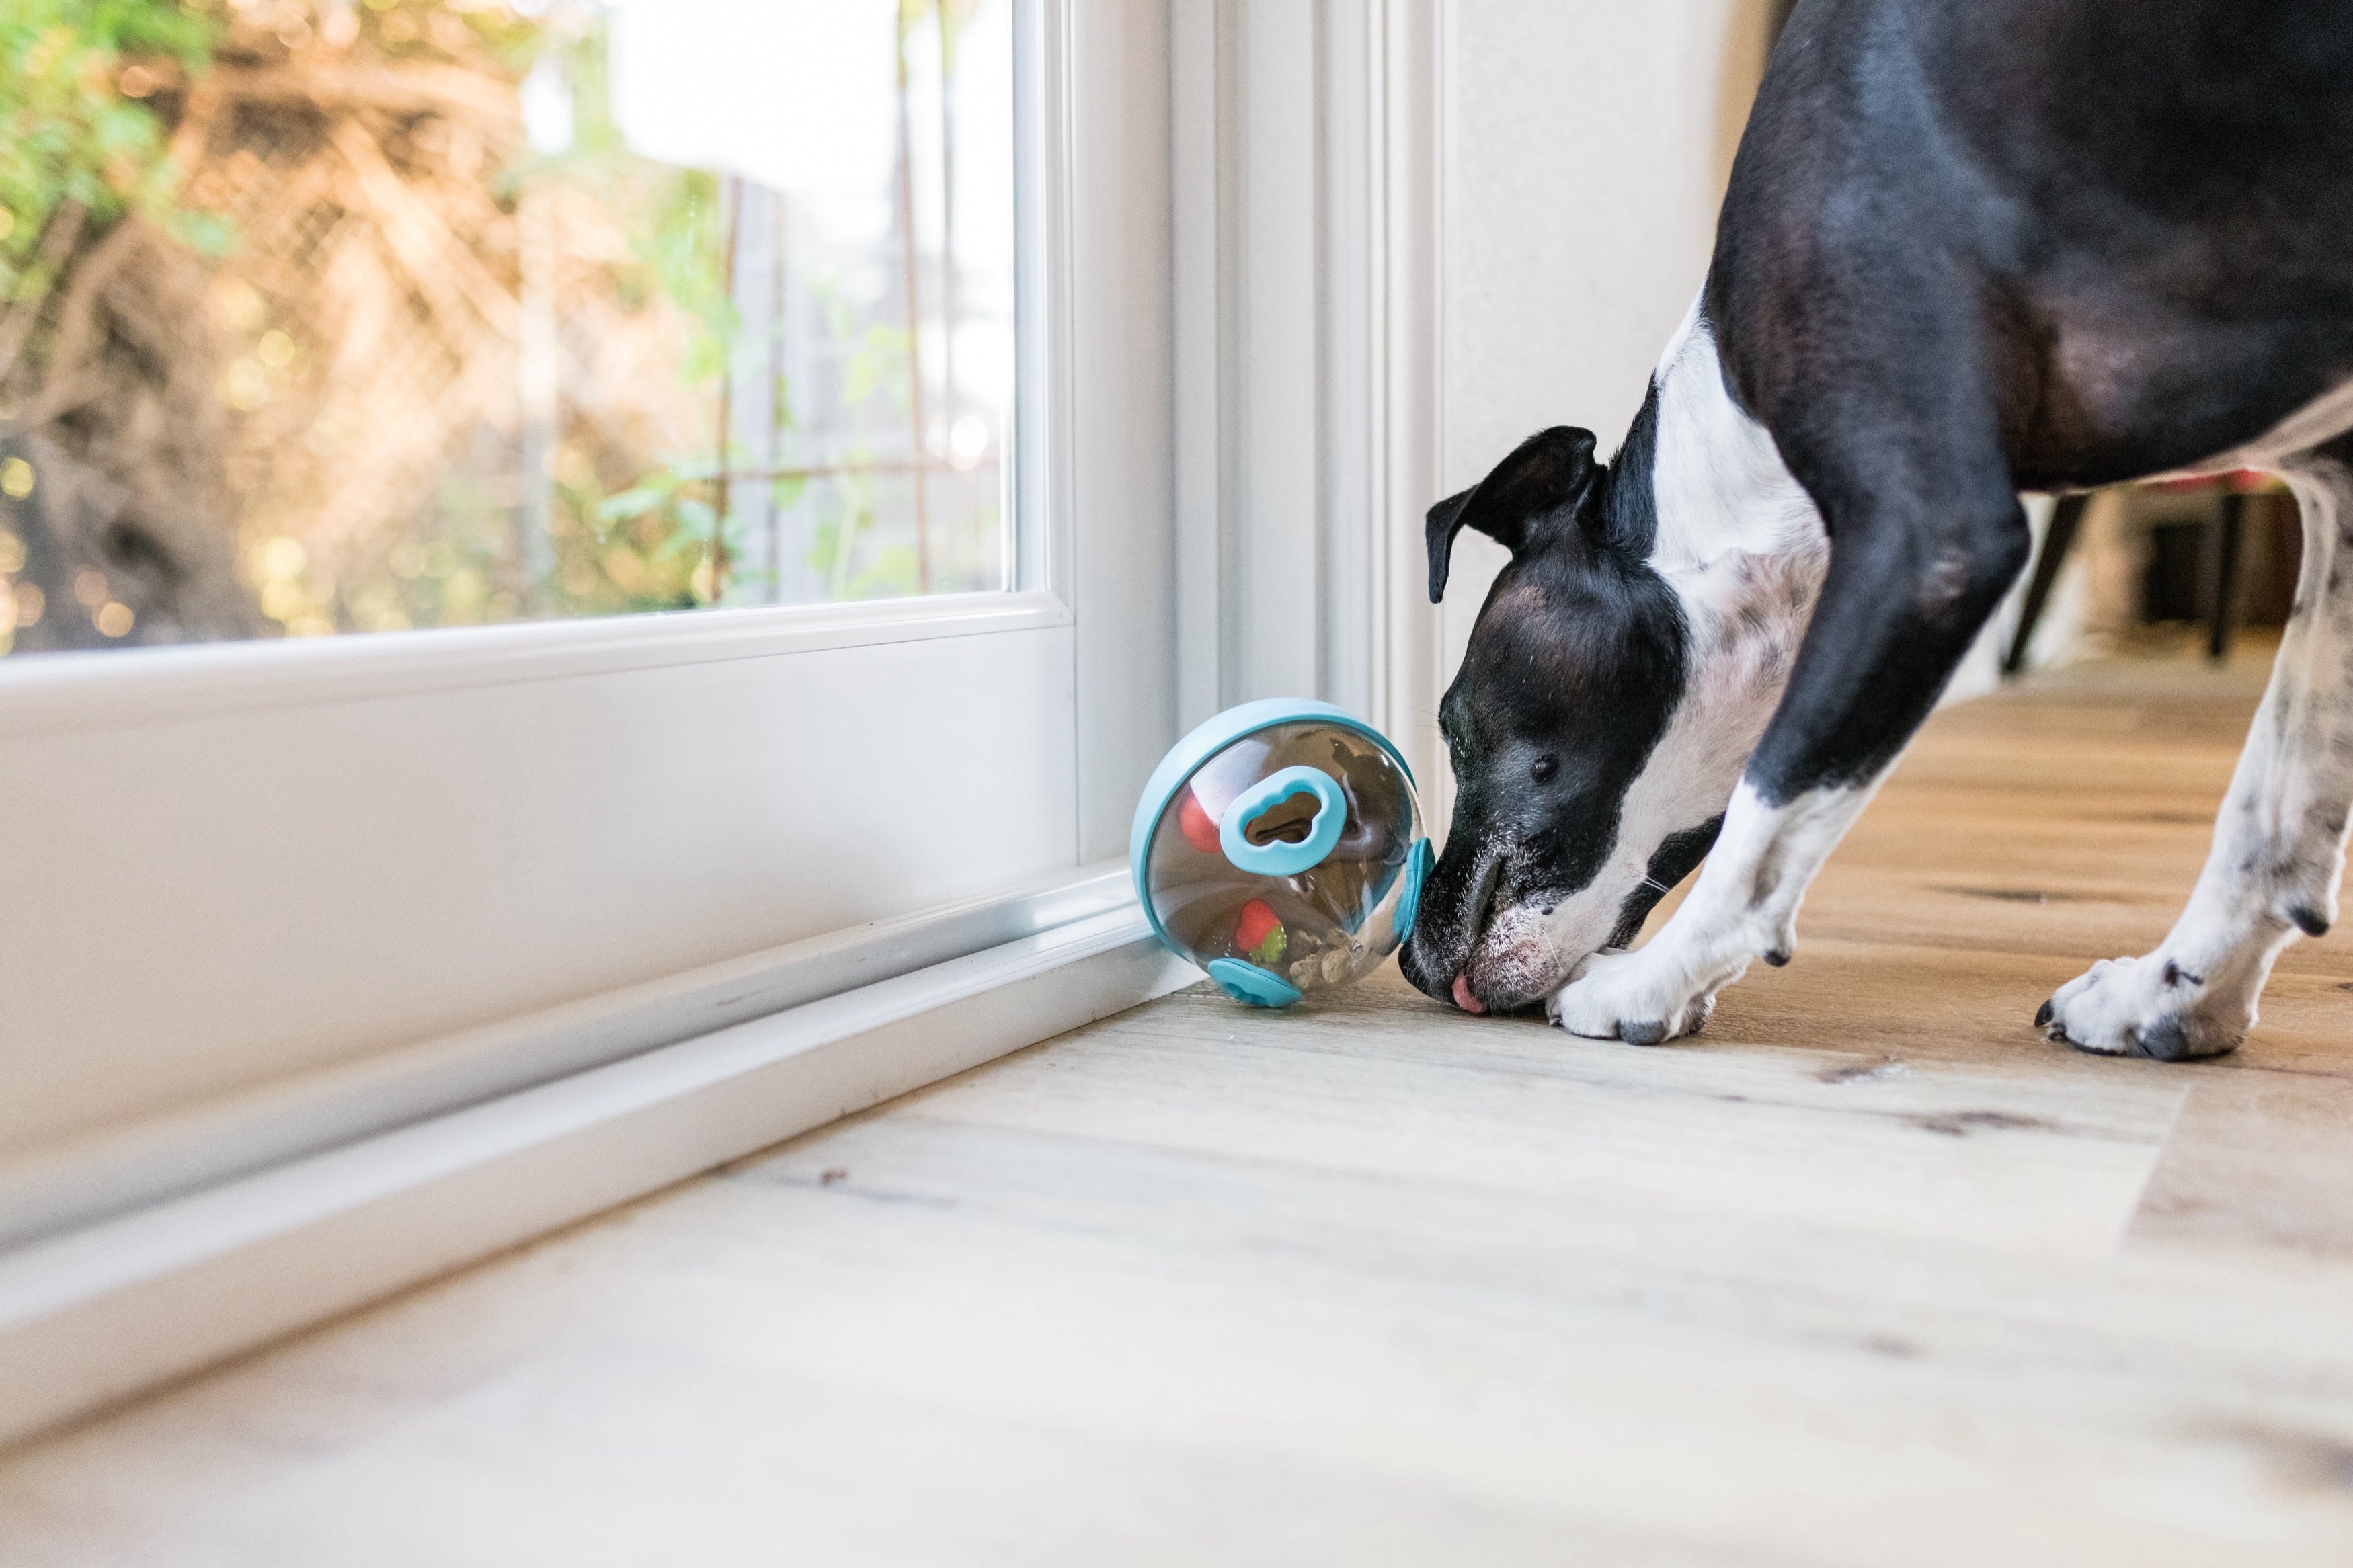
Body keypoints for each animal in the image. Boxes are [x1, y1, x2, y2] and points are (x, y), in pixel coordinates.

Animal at [1402, 0, 2353, 1062]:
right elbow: (2276, 805)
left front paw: (1651, 984)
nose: (1408, 961)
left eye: (1451, 724)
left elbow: (1769, 809)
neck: (1734, 445)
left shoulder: (1927, 539)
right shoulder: (2340, 485)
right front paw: (2176, 996)